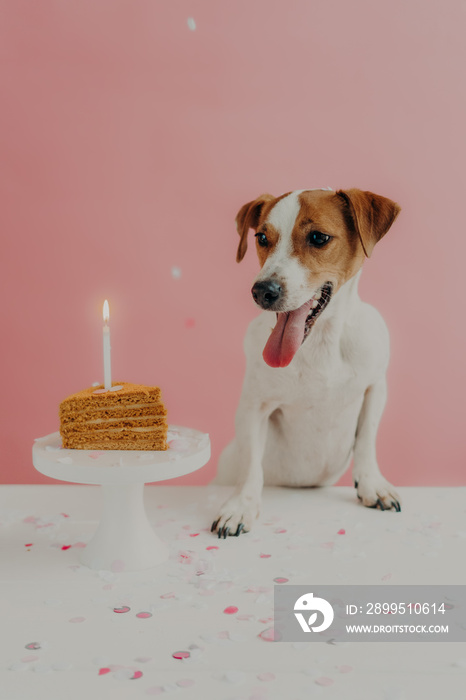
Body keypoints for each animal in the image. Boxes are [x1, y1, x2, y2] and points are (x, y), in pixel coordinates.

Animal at [213, 186, 402, 536]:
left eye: (318, 237)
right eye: (261, 237)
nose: (262, 291)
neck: (320, 344)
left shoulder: (375, 388)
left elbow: (366, 441)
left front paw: (371, 485)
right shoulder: (252, 407)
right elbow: (250, 464)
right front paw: (240, 506)